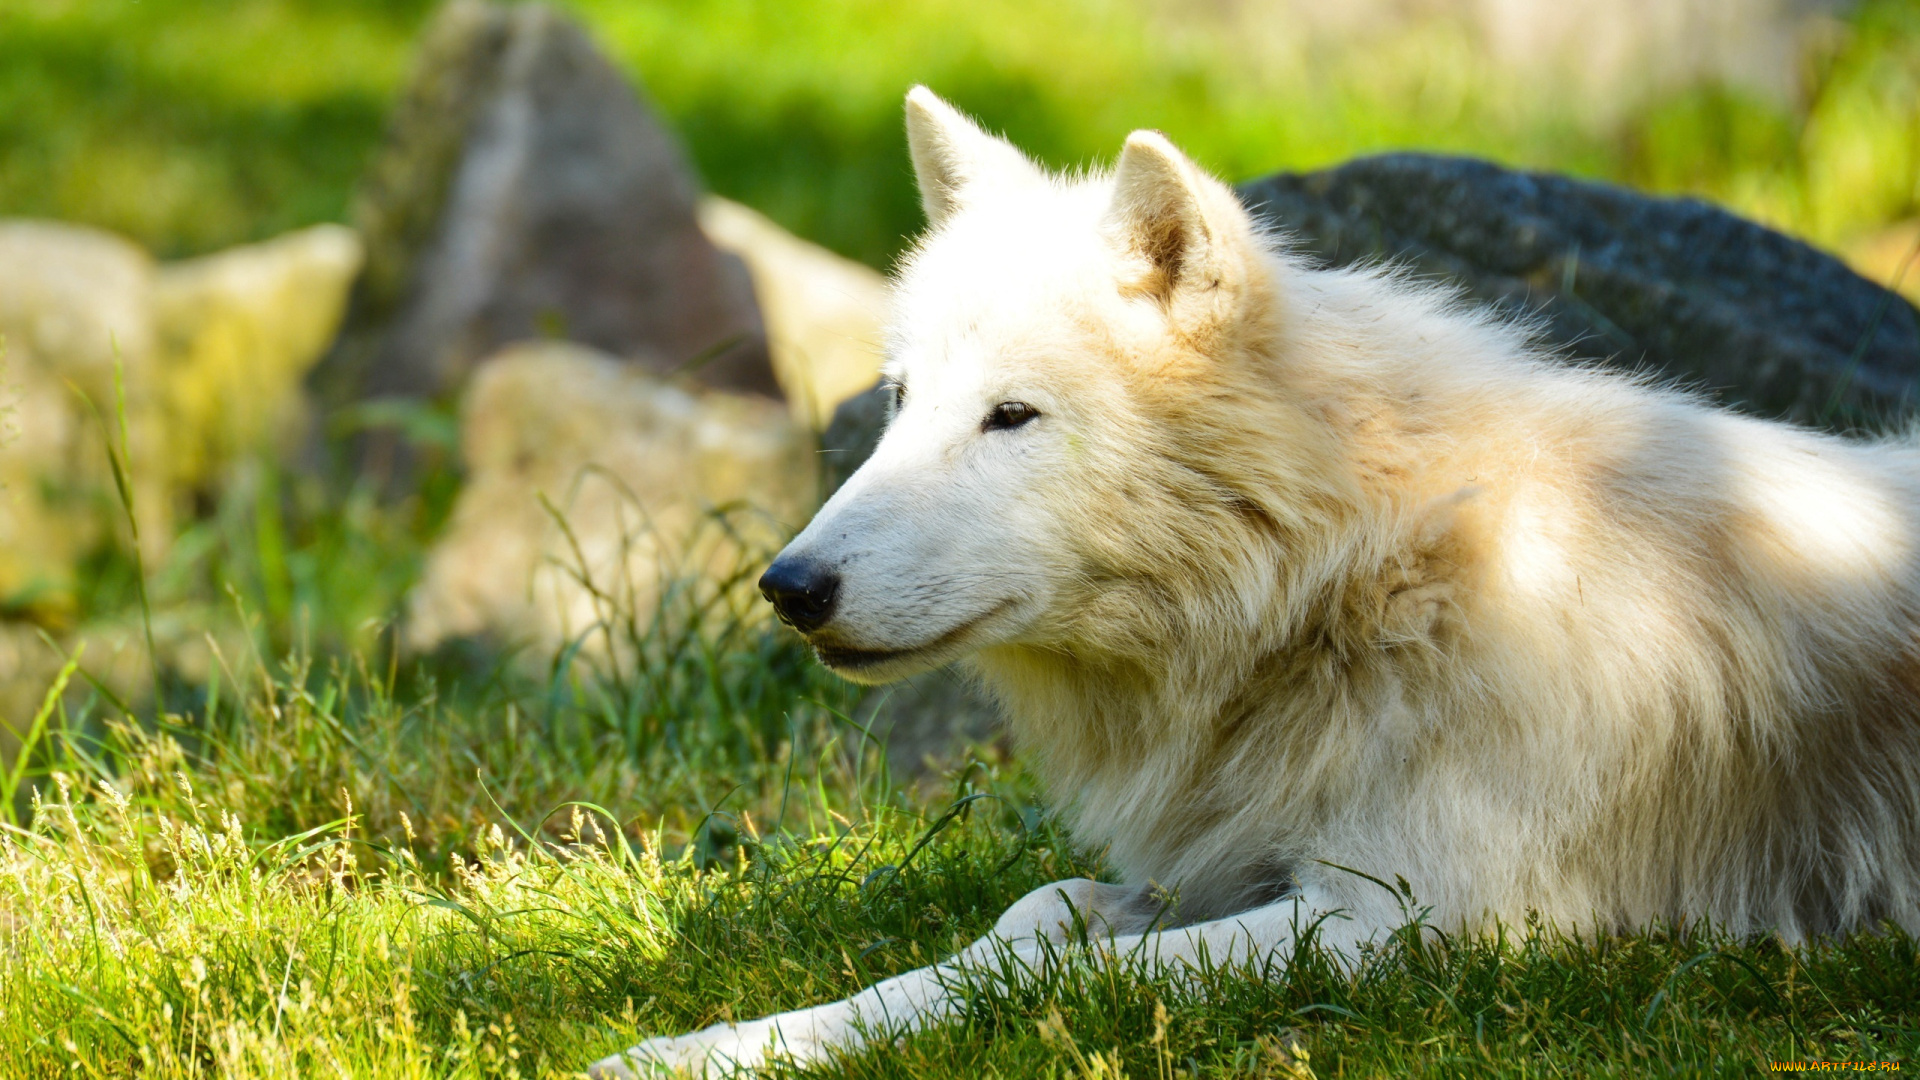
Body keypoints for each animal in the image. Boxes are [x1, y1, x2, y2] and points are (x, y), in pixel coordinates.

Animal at [591, 85, 1920, 1076]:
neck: (1369, 580)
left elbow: (1049, 974)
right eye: (901, 402)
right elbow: (1027, 925)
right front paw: (710, 1045)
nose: (788, 585)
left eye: (1012, 417)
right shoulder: (1229, 866)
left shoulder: (1416, 923)